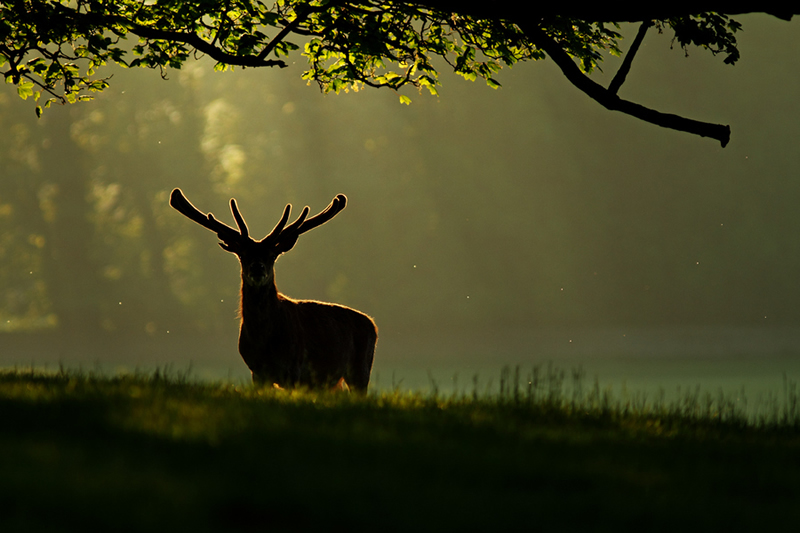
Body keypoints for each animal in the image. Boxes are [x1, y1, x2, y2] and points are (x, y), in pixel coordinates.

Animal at [168, 187, 378, 390]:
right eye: (243, 254)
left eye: (272, 255)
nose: (257, 267)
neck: (264, 343)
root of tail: (373, 325)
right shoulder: (257, 372)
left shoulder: (295, 368)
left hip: (360, 369)